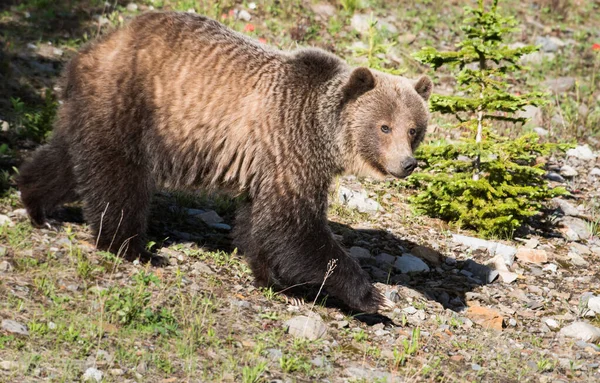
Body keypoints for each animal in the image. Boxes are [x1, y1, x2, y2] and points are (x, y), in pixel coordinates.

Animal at [18, 12, 432, 316]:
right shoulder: (290, 147)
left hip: (95, 107)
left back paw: (37, 204)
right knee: (119, 178)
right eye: (384, 126)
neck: (322, 130)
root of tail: (92, 48)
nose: (406, 163)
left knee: (68, 160)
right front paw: (367, 294)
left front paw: (272, 278)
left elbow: (262, 224)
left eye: (413, 129)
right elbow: (294, 227)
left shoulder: (268, 163)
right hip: (134, 102)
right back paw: (132, 248)